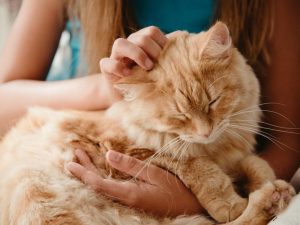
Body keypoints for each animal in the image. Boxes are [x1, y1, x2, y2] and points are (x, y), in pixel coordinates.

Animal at [0, 21, 294, 225]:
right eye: (181, 116)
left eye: (213, 102)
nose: (206, 132)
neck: (215, 147)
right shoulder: (130, 148)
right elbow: (201, 168)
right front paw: (230, 202)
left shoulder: (232, 155)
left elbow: (254, 163)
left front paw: (264, 180)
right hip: (41, 195)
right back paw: (269, 201)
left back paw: (275, 198)